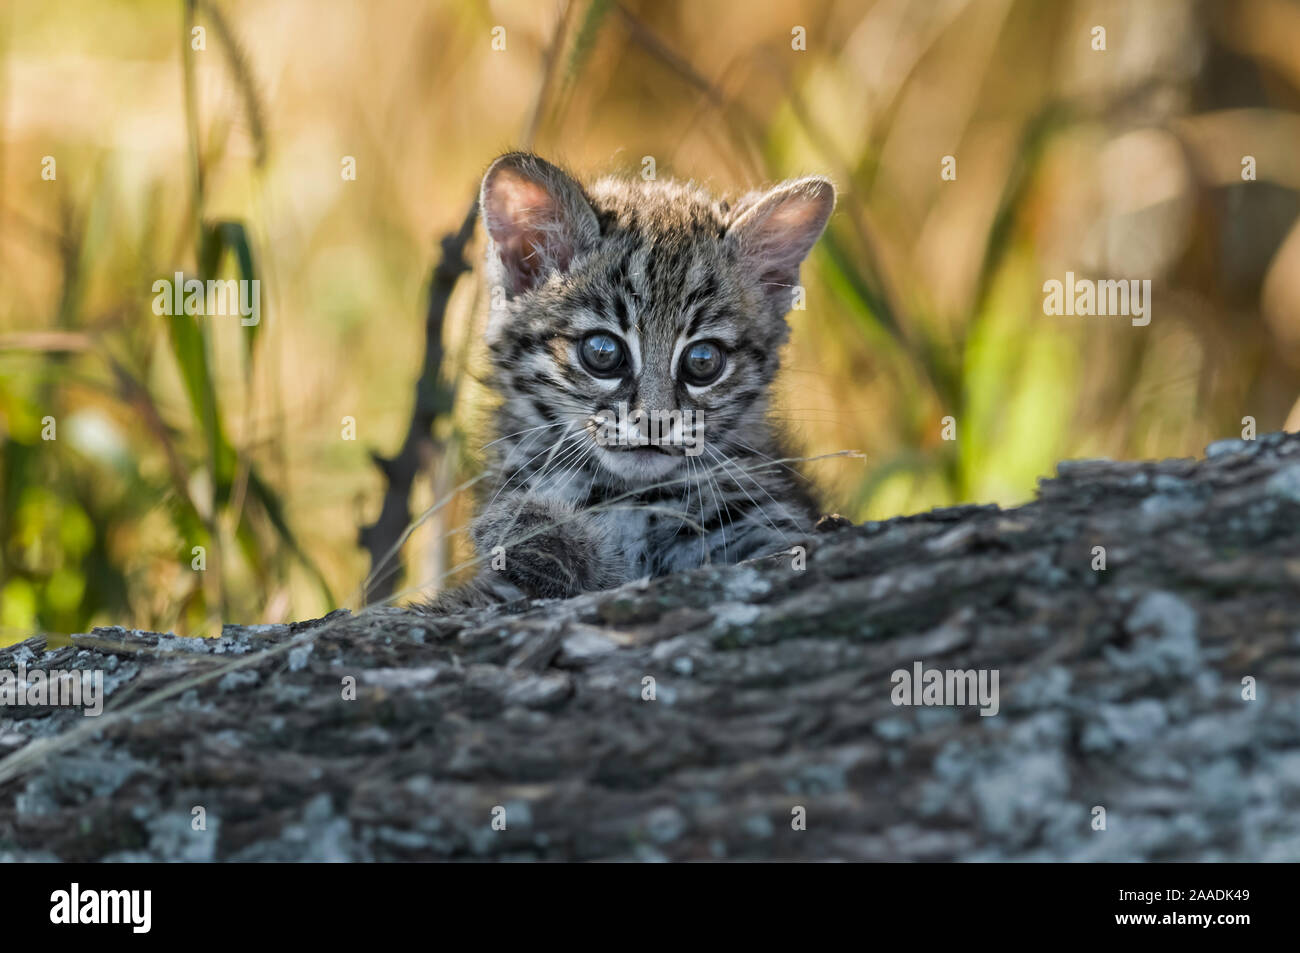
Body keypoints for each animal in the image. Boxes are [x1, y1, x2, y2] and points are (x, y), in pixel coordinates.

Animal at [421, 148, 837, 608]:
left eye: (703, 360)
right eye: (602, 352)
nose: (655, 423)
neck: (630, 497)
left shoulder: (770, 531)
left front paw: (538, 534)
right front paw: (537, 531)